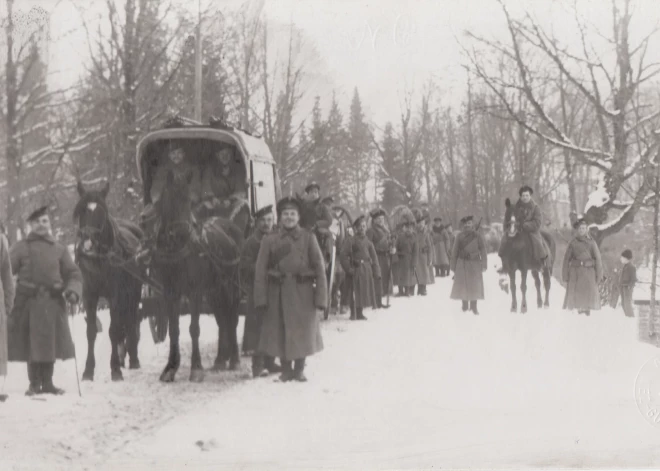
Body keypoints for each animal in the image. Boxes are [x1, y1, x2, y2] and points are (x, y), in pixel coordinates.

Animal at [73, 179, 143, 382]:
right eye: (82, 211)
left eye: (101, 213)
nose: (87, 243)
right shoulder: (89, 294)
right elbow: (91, 331)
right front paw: (88, 371)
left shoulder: (115, 295)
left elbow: (114, 329)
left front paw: (115, 369)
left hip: (134, 293)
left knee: (131, 320)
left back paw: (133, 359)